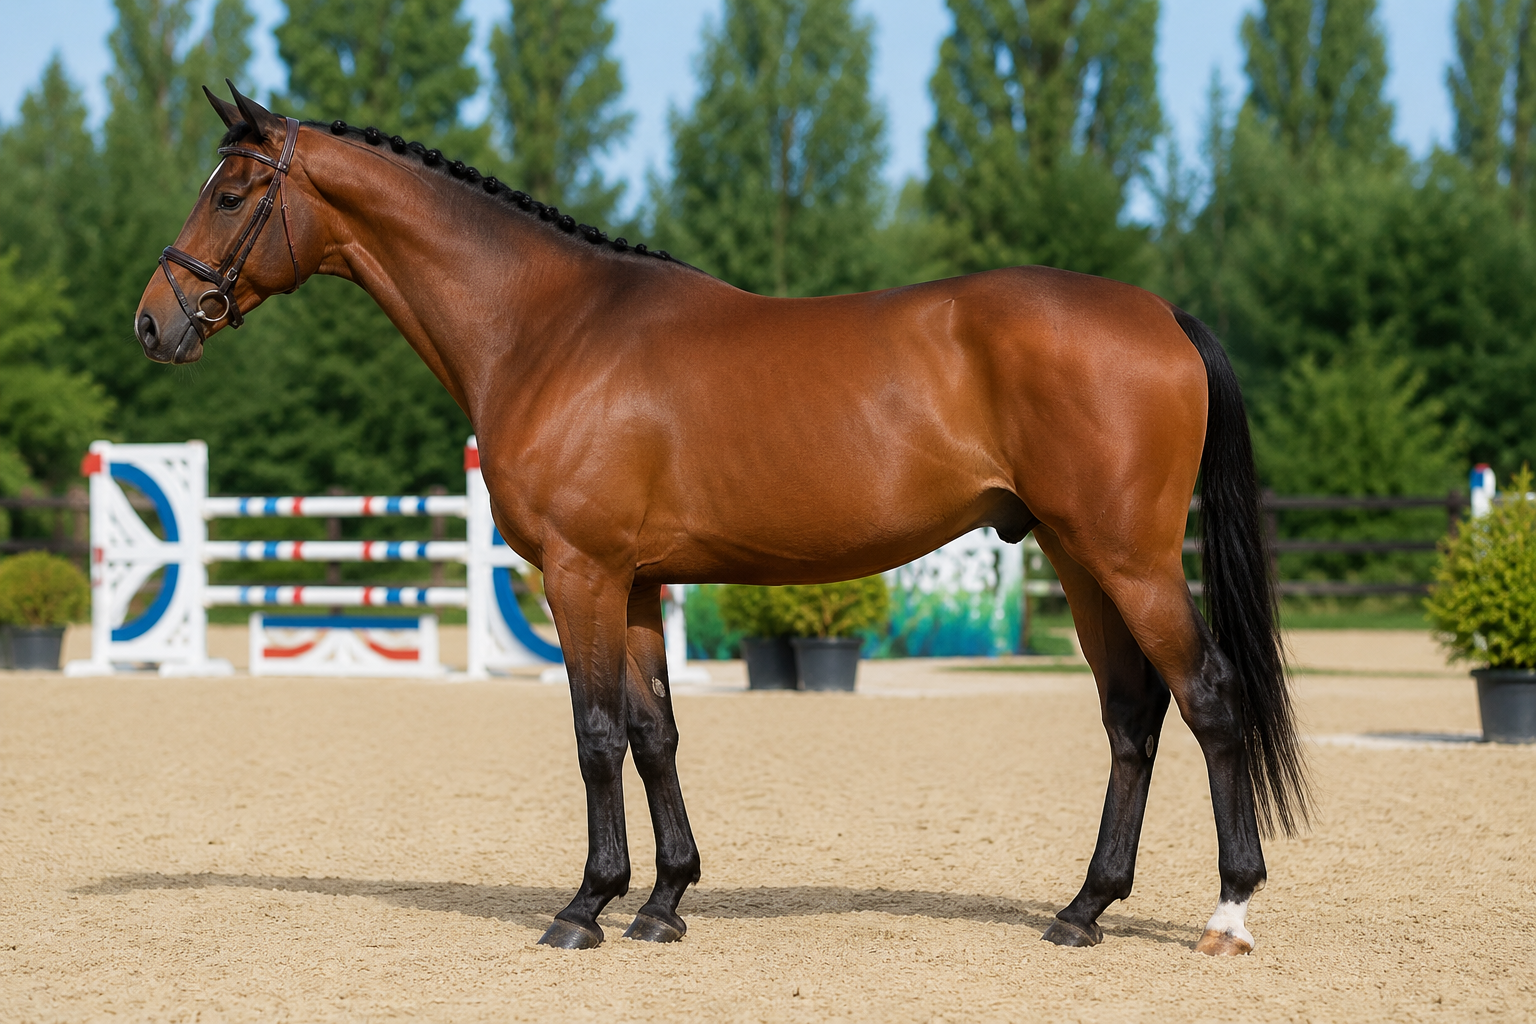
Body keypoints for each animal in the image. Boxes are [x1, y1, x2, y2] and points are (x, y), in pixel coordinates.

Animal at [134, 83, 1307, 956]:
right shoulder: (638, 581)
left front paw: (585, 906)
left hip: (1130, 557)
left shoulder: (581, 572)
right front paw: (663, 902)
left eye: (233, 193)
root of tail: (1162, 314)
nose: (155, 322)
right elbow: (656, 733)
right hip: (1077, 556)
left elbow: (595, 734)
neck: (550, 328)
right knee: (1131, 717)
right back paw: (1083, 908)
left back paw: (1228, 910)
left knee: (1207, 698)